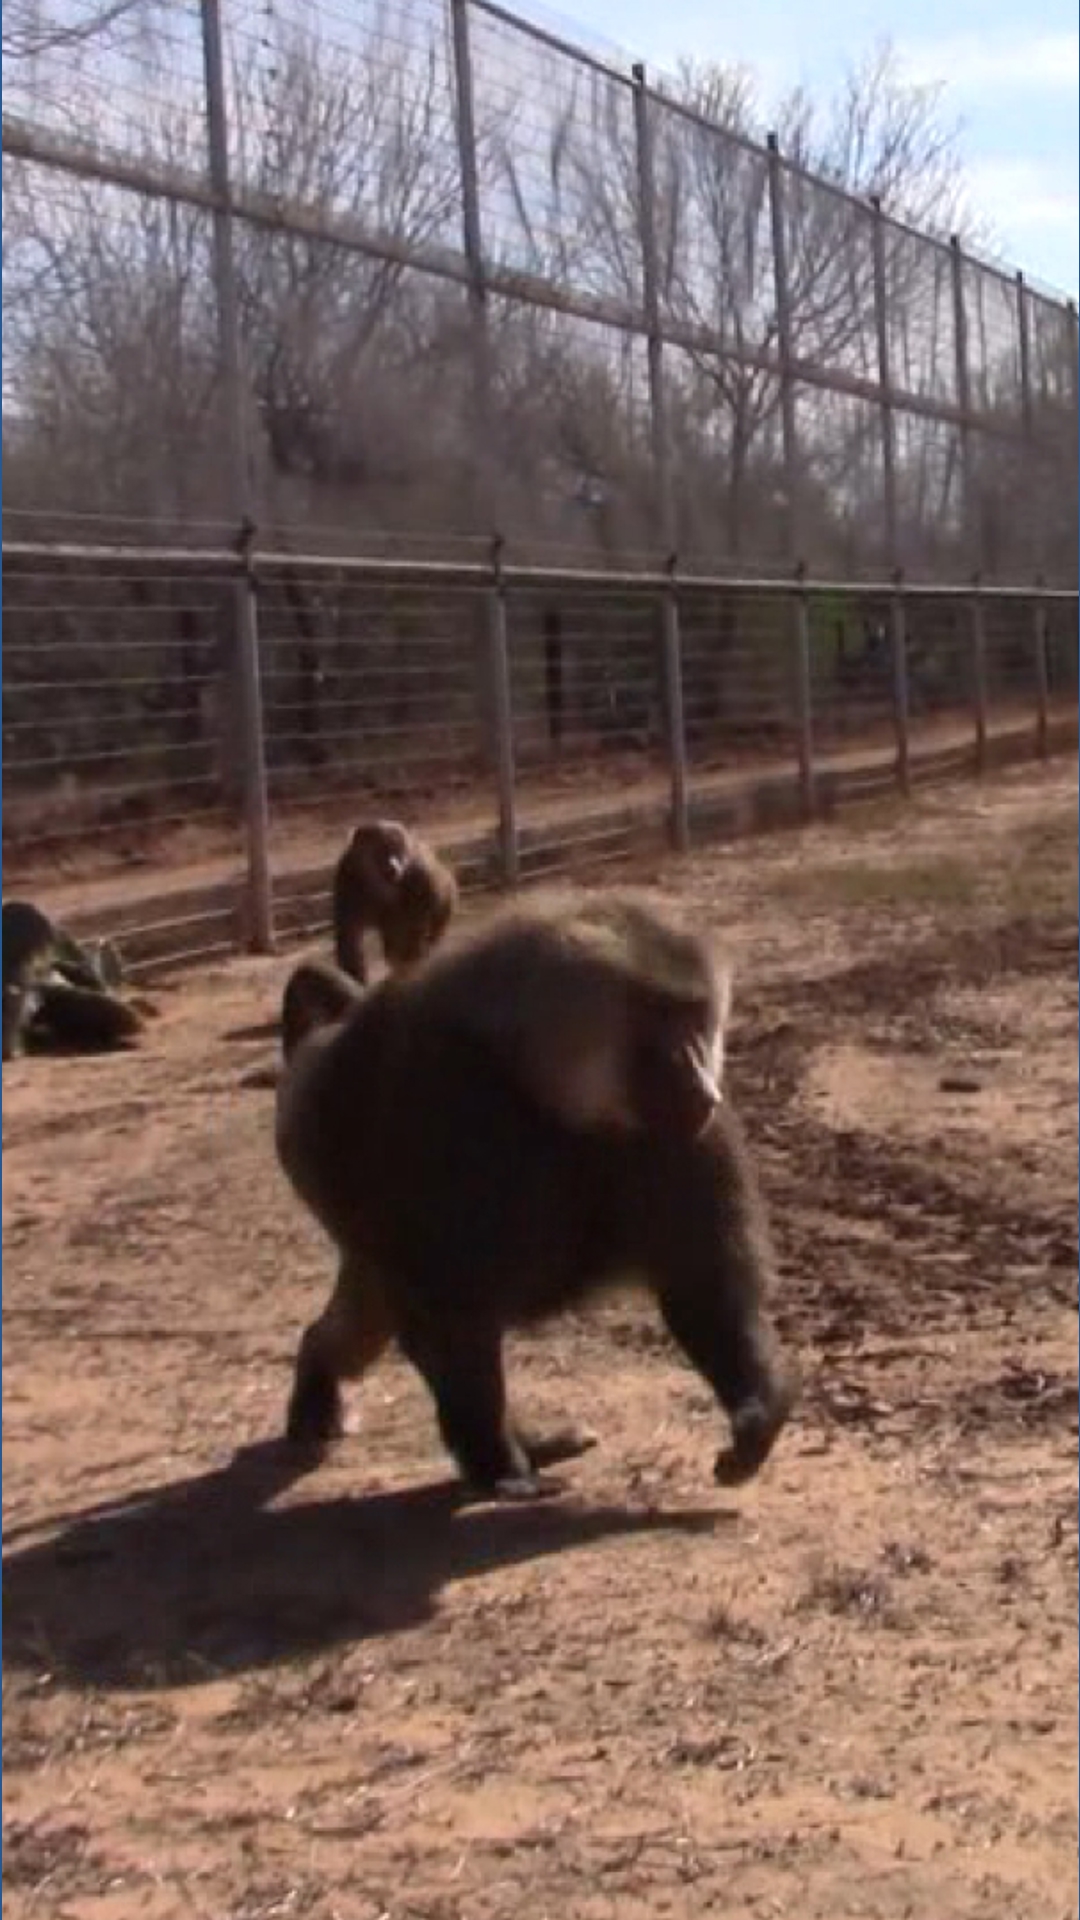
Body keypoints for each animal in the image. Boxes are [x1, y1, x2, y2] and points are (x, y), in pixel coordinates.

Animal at [274, 896, 798, 1503]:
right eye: (658, 1016)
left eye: (695, 1016)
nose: (704, 1090)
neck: (531, 1074)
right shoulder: (432, 1093)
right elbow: (447, 1311)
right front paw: (501, 1469)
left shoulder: (674, 1135)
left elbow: (703, 1285)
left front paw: (756, 1417)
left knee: (366, 1316)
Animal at [331, 820, 458, 986]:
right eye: (381, 850)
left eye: (397, 850)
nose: (393, 866)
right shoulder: (347, 875)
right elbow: (350, 934)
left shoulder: (419, 871)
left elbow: (427, 904)